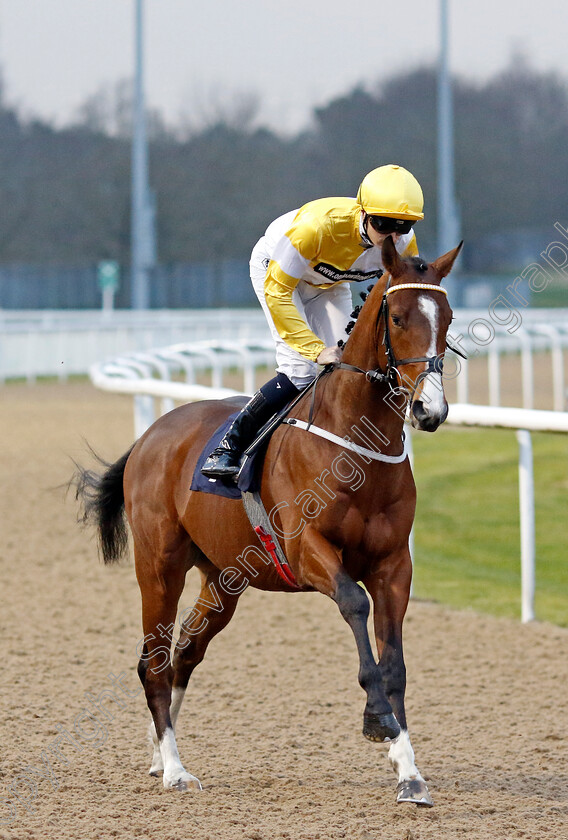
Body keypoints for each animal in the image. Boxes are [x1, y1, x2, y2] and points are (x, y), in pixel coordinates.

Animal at [74, 236, 462, 808]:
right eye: (396, 317)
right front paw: (377, 719)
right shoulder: (307, 550)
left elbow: (395, 664)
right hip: (159, 565)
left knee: (184, 652)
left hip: (223, 579)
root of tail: (150, 435)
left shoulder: (394, 565)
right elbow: (354, 604)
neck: (356, 447)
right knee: (154, 660)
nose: (429, 409)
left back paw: (158, 752)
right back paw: (174, 768)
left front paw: (409, 771)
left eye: (448, 318)